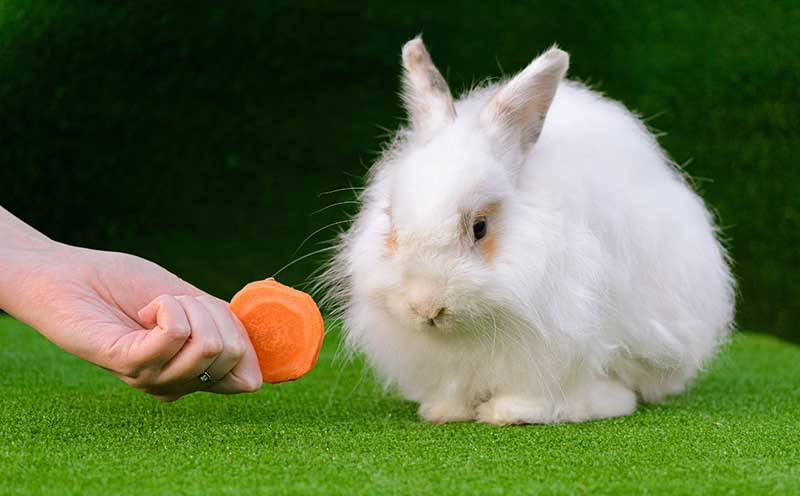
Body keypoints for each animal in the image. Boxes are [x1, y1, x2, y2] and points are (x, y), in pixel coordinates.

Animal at [320, 36, 735, 425]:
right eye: (391, 221)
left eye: (480, 227)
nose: (426, 307)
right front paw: (442, 412)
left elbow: (539, 393)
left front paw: (508, 413)